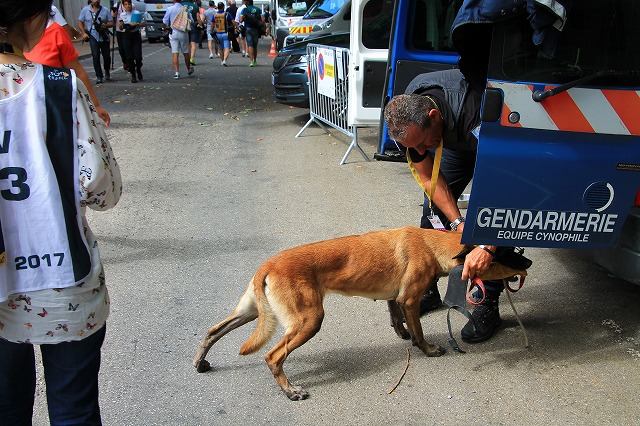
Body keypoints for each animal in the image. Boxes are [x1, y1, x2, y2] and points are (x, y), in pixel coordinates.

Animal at [191, 228, 516, 402]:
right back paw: (291, 391)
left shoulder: (395, 298)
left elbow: (397, 318)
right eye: (501, 255)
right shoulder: (409, 299)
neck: (431, 243)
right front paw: (426, 348)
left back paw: (200, 361)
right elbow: (420, 331)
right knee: (273, 356)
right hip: (309, 322)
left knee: (213, 330)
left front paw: (403, 333)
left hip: (250, 312)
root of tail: (267, 266)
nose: (525, 261)